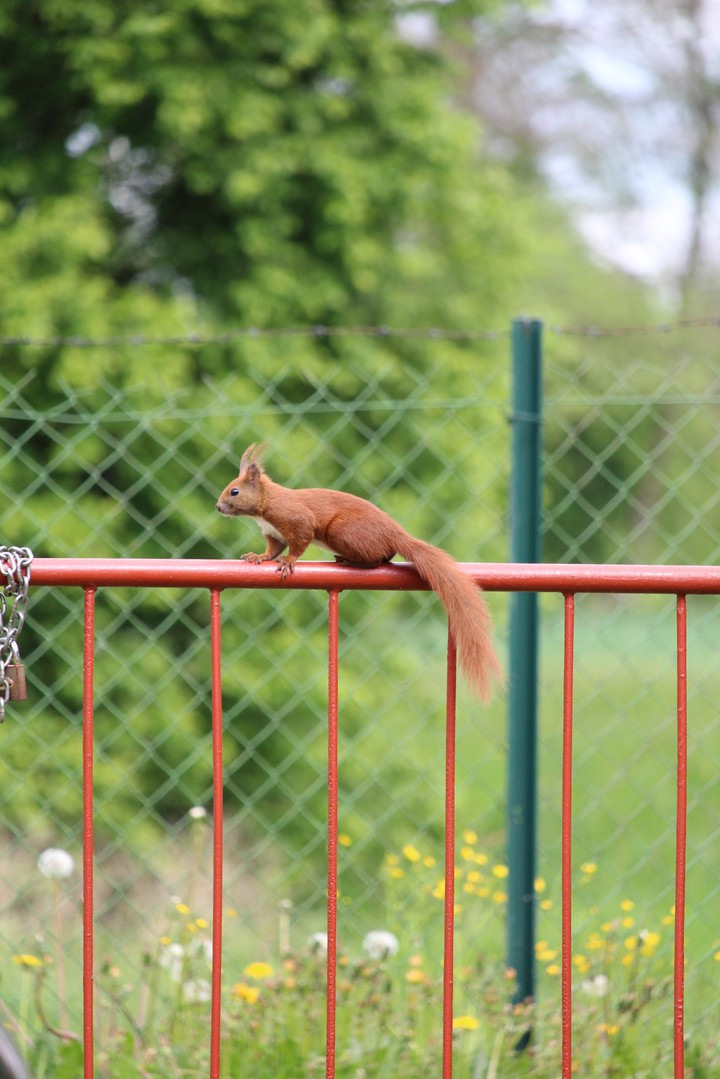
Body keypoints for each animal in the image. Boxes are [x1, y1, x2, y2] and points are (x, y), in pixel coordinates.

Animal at [216, 444, 503, 703]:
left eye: (234, 491)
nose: (218, 507)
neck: (265, 505)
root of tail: (395, 534)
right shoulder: (273, 534)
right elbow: (272, 550)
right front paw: (257, 557)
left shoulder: (296, 521)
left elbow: (297, 545)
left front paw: (288, 563)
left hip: (342, 531)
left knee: (376, 561)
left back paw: (349, 562)